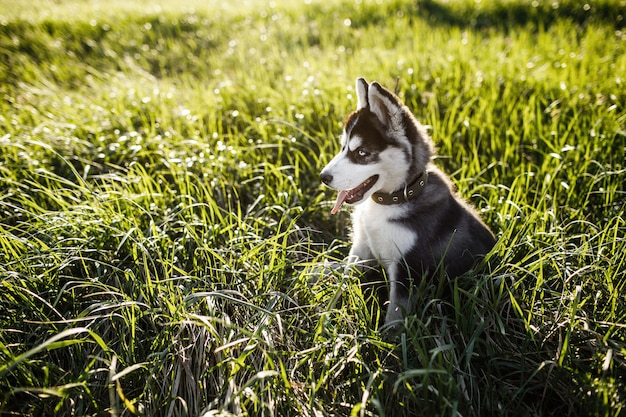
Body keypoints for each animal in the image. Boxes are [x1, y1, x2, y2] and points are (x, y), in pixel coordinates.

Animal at [320, 77, 494, 324]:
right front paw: (317, 276)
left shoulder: (408, 269)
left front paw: (387, 334)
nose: (323, 177)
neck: (391, 200)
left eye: (362, 153)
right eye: (343, 147)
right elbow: (343, 274)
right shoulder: (361, 249)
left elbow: (395, 314)